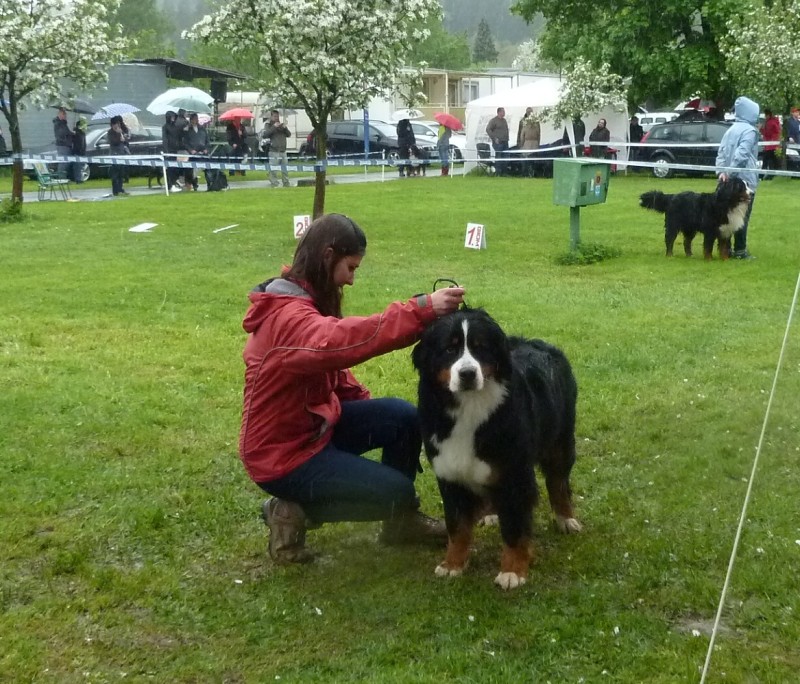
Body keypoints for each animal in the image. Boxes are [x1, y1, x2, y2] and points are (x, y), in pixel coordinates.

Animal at [412, 308, 580, 592]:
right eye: (449, 349)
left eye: (480, 348)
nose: (468, 373)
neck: (469, 408)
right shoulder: (450, 473)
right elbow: (457, 527)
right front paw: (452, 564)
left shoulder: (515, 474)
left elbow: (514, 528)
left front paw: (512, 571)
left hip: (560, 442)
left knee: (558, 482)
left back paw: (565, 519)